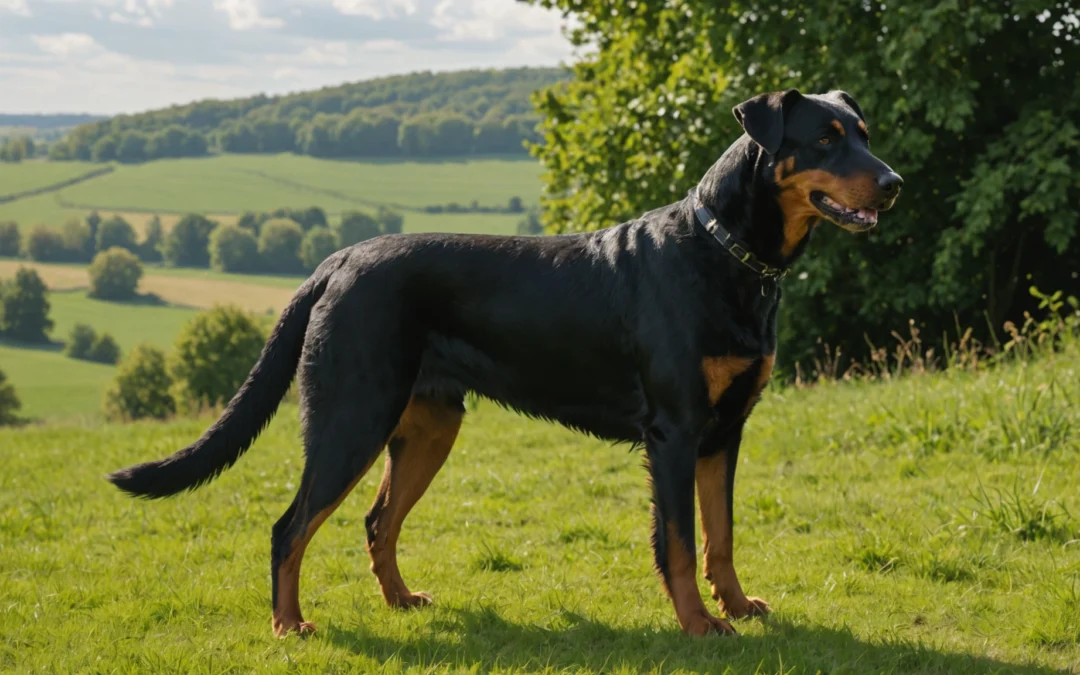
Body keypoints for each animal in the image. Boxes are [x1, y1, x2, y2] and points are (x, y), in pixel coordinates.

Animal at [109, 89, 902, 635]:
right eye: (826, 140)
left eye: (863, 135)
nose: (893, 183)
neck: (728, 254)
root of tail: (337, 261)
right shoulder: (676, 433)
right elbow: (678, 543)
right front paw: (701, 625)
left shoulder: (724, 431)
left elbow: (722, 536)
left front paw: (737, 605)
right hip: (351, 420)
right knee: (291, 526)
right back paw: (289, 625)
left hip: (427, 428)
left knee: (377, 522)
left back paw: (401, 600)